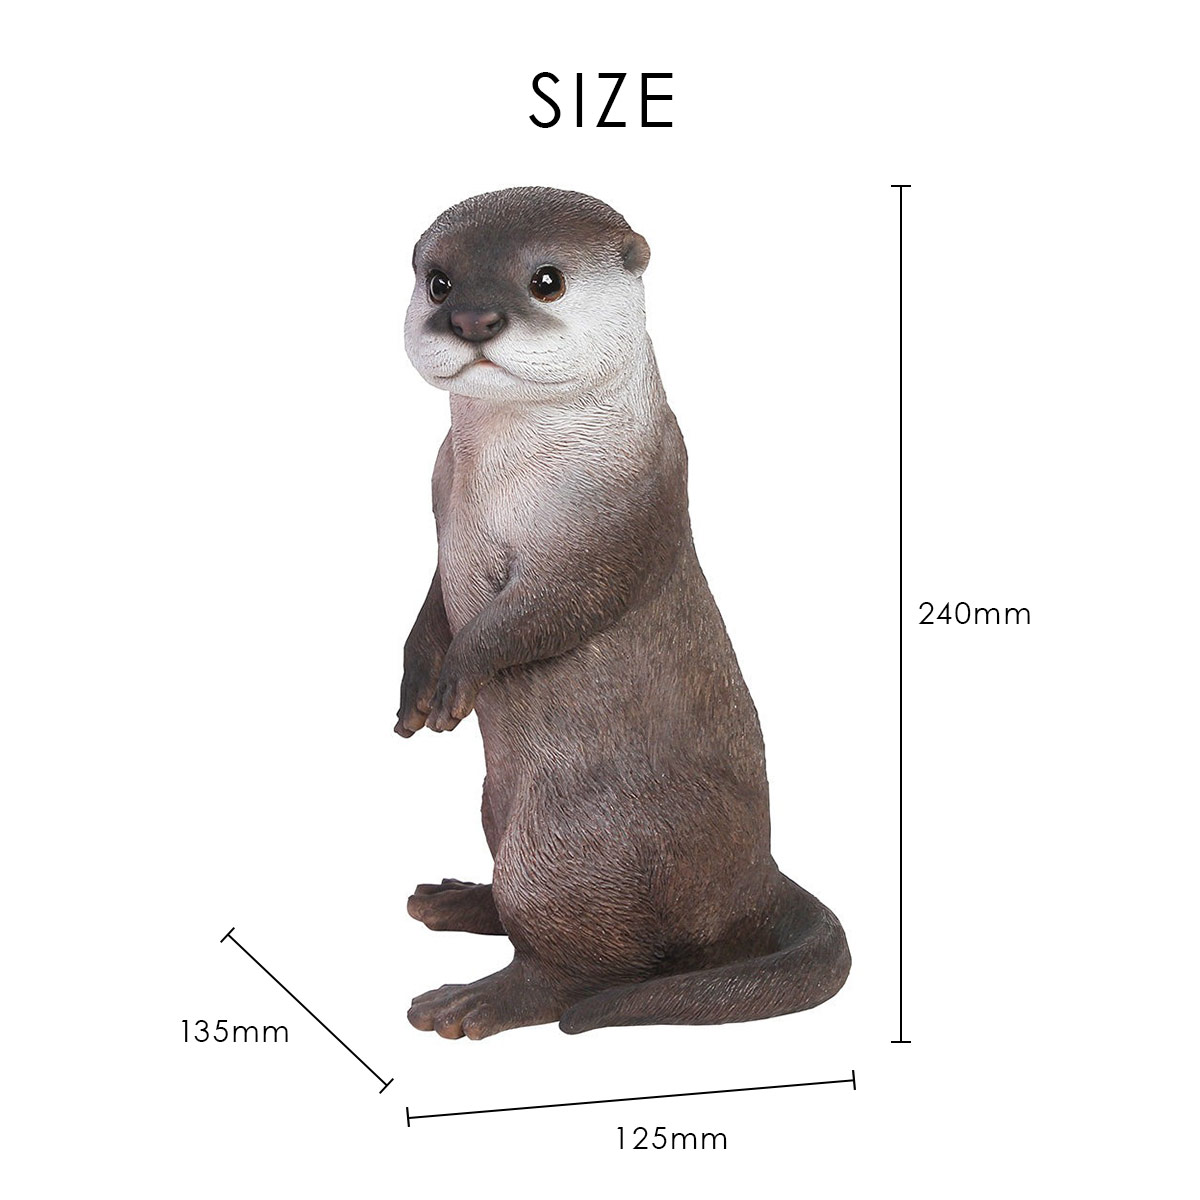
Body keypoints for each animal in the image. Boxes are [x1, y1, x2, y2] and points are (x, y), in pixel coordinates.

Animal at [397, 187, 849, 1038]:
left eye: (546, 280)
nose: (471, 318)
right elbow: (432, 607)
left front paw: (454, 684)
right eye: (438, 282)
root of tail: (758, 882)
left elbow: (542, 613)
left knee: (576, 969)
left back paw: (474, 1001)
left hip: (571, 849)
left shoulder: (617, 519)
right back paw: (456, 901)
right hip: (498, 805)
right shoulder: (438, 507)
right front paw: (412, 691)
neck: (503, 479)